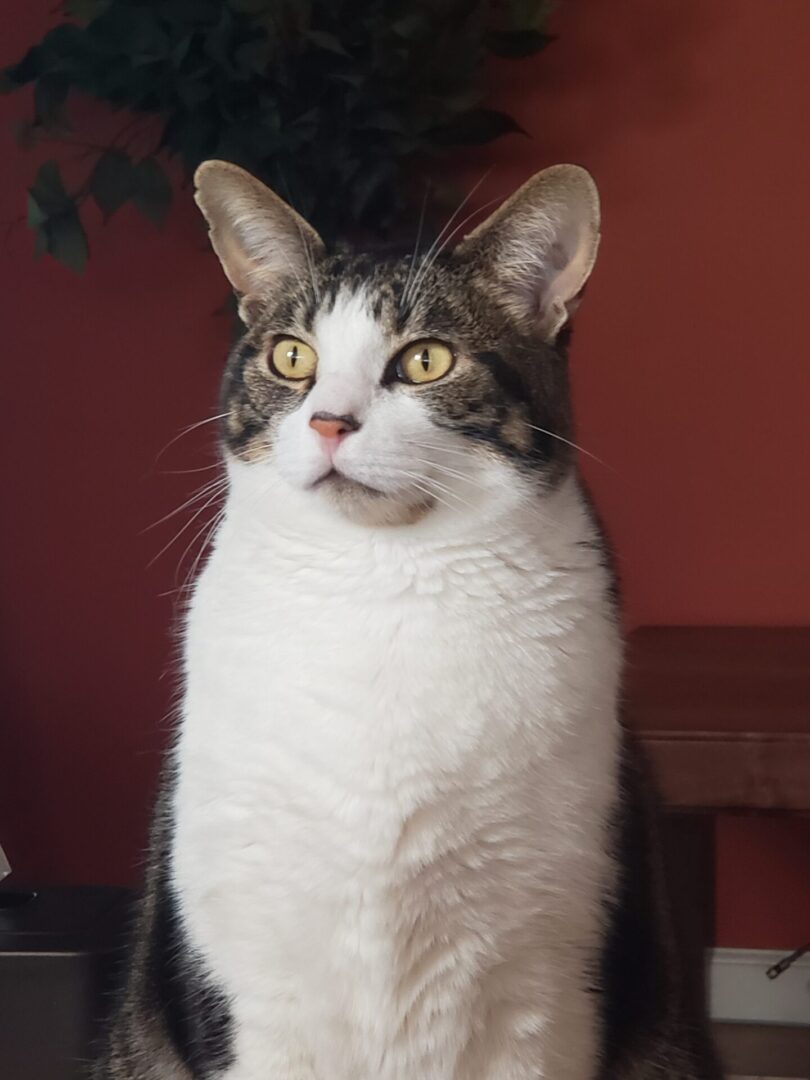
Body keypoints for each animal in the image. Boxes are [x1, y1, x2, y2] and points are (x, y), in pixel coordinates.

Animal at [95, 162, 721, 1080]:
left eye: (426, 360)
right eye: (292, 356)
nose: (329, 421)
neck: (381, 586)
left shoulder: (546, 991)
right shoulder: (247, 982)